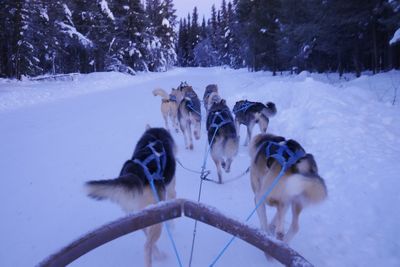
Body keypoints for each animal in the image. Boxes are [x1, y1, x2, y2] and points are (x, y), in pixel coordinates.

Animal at [85, 127, 177, 267]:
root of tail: (136, 172)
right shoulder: (171, 191)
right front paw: (172, 226)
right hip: (155, 216)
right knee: (147, 245)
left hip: (141, 217)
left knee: (148, 240)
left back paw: (158, 256)